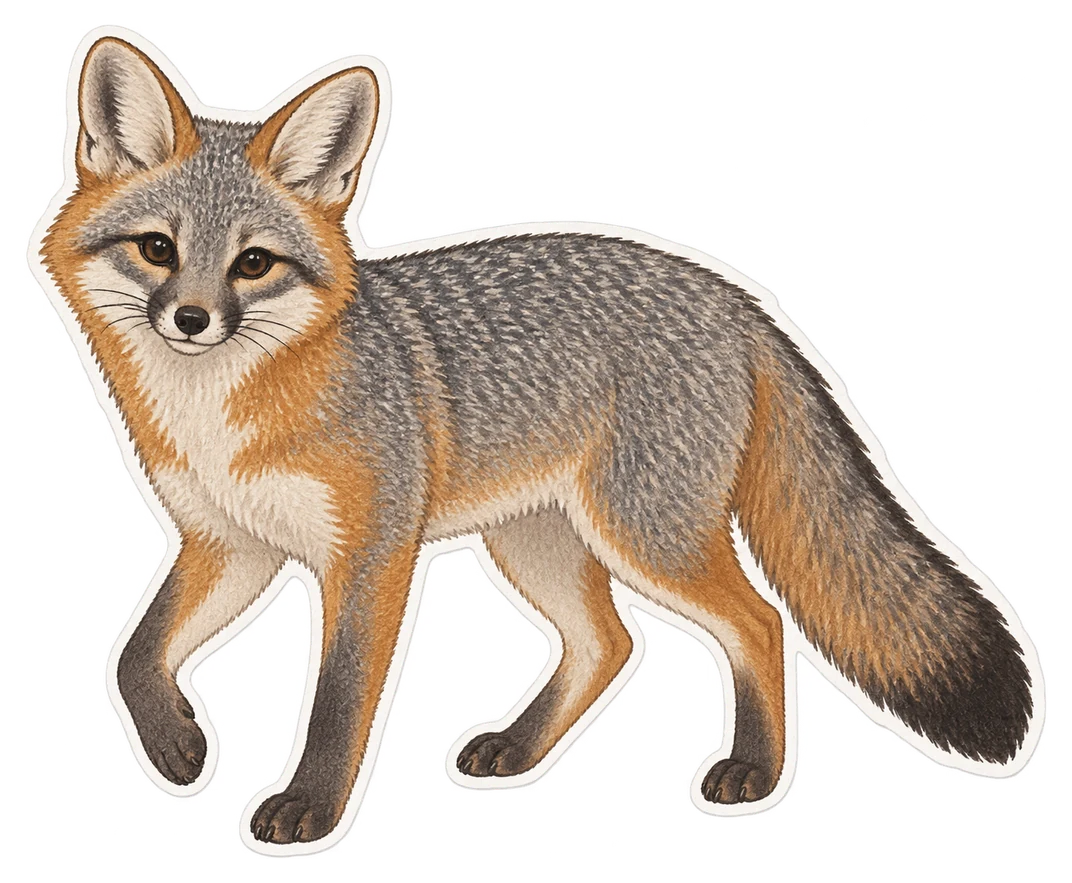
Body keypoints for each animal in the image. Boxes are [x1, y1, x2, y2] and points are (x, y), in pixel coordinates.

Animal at [31, 31, 1041, 850]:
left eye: (252, 264)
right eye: (158, 250)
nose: (192, 319)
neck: (216, 415)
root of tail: (738, 299)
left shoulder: (371, 553)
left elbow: (340, 699)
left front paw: (310, 809)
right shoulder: (230, 541)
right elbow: (133, 653)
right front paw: (178, 743)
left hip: (646, 535)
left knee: (758, 620)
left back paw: (752, 773)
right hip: (537, 540)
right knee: (611, 643)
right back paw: (519, 749)